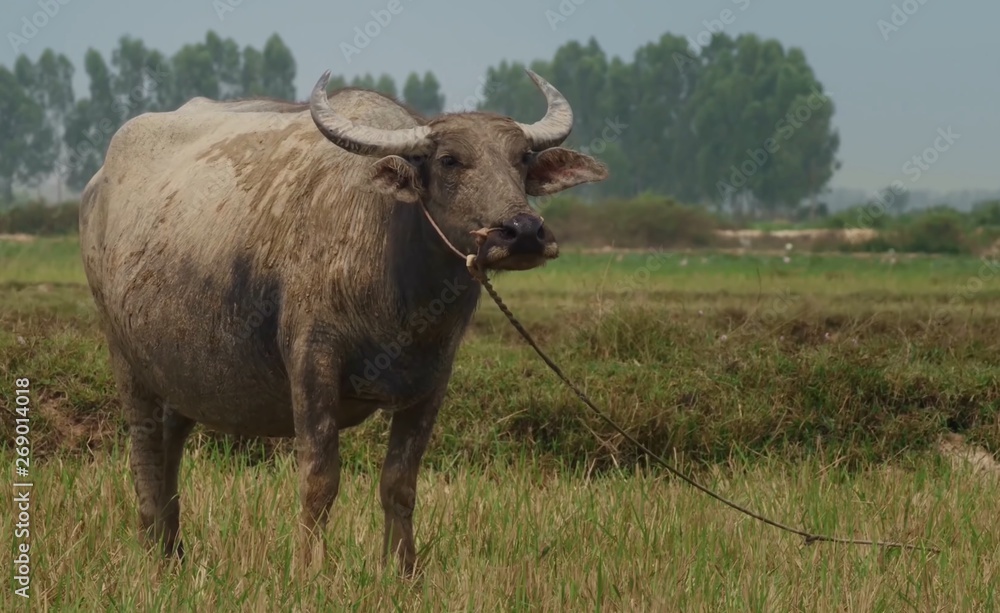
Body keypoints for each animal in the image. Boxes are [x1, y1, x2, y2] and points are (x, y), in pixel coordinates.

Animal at [78, 68, 604, 572]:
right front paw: (309, 570)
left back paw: (173, 552)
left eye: (521, 158)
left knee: (170, 449)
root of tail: (95, 188)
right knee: (145, 455)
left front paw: (404, 572)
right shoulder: (313, 365)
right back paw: (154, 552)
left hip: (178, 377)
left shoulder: (433, 381)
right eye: (450, 160)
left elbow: (399, 484)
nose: (523, 232)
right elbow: (319, 480)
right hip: (126, 360)